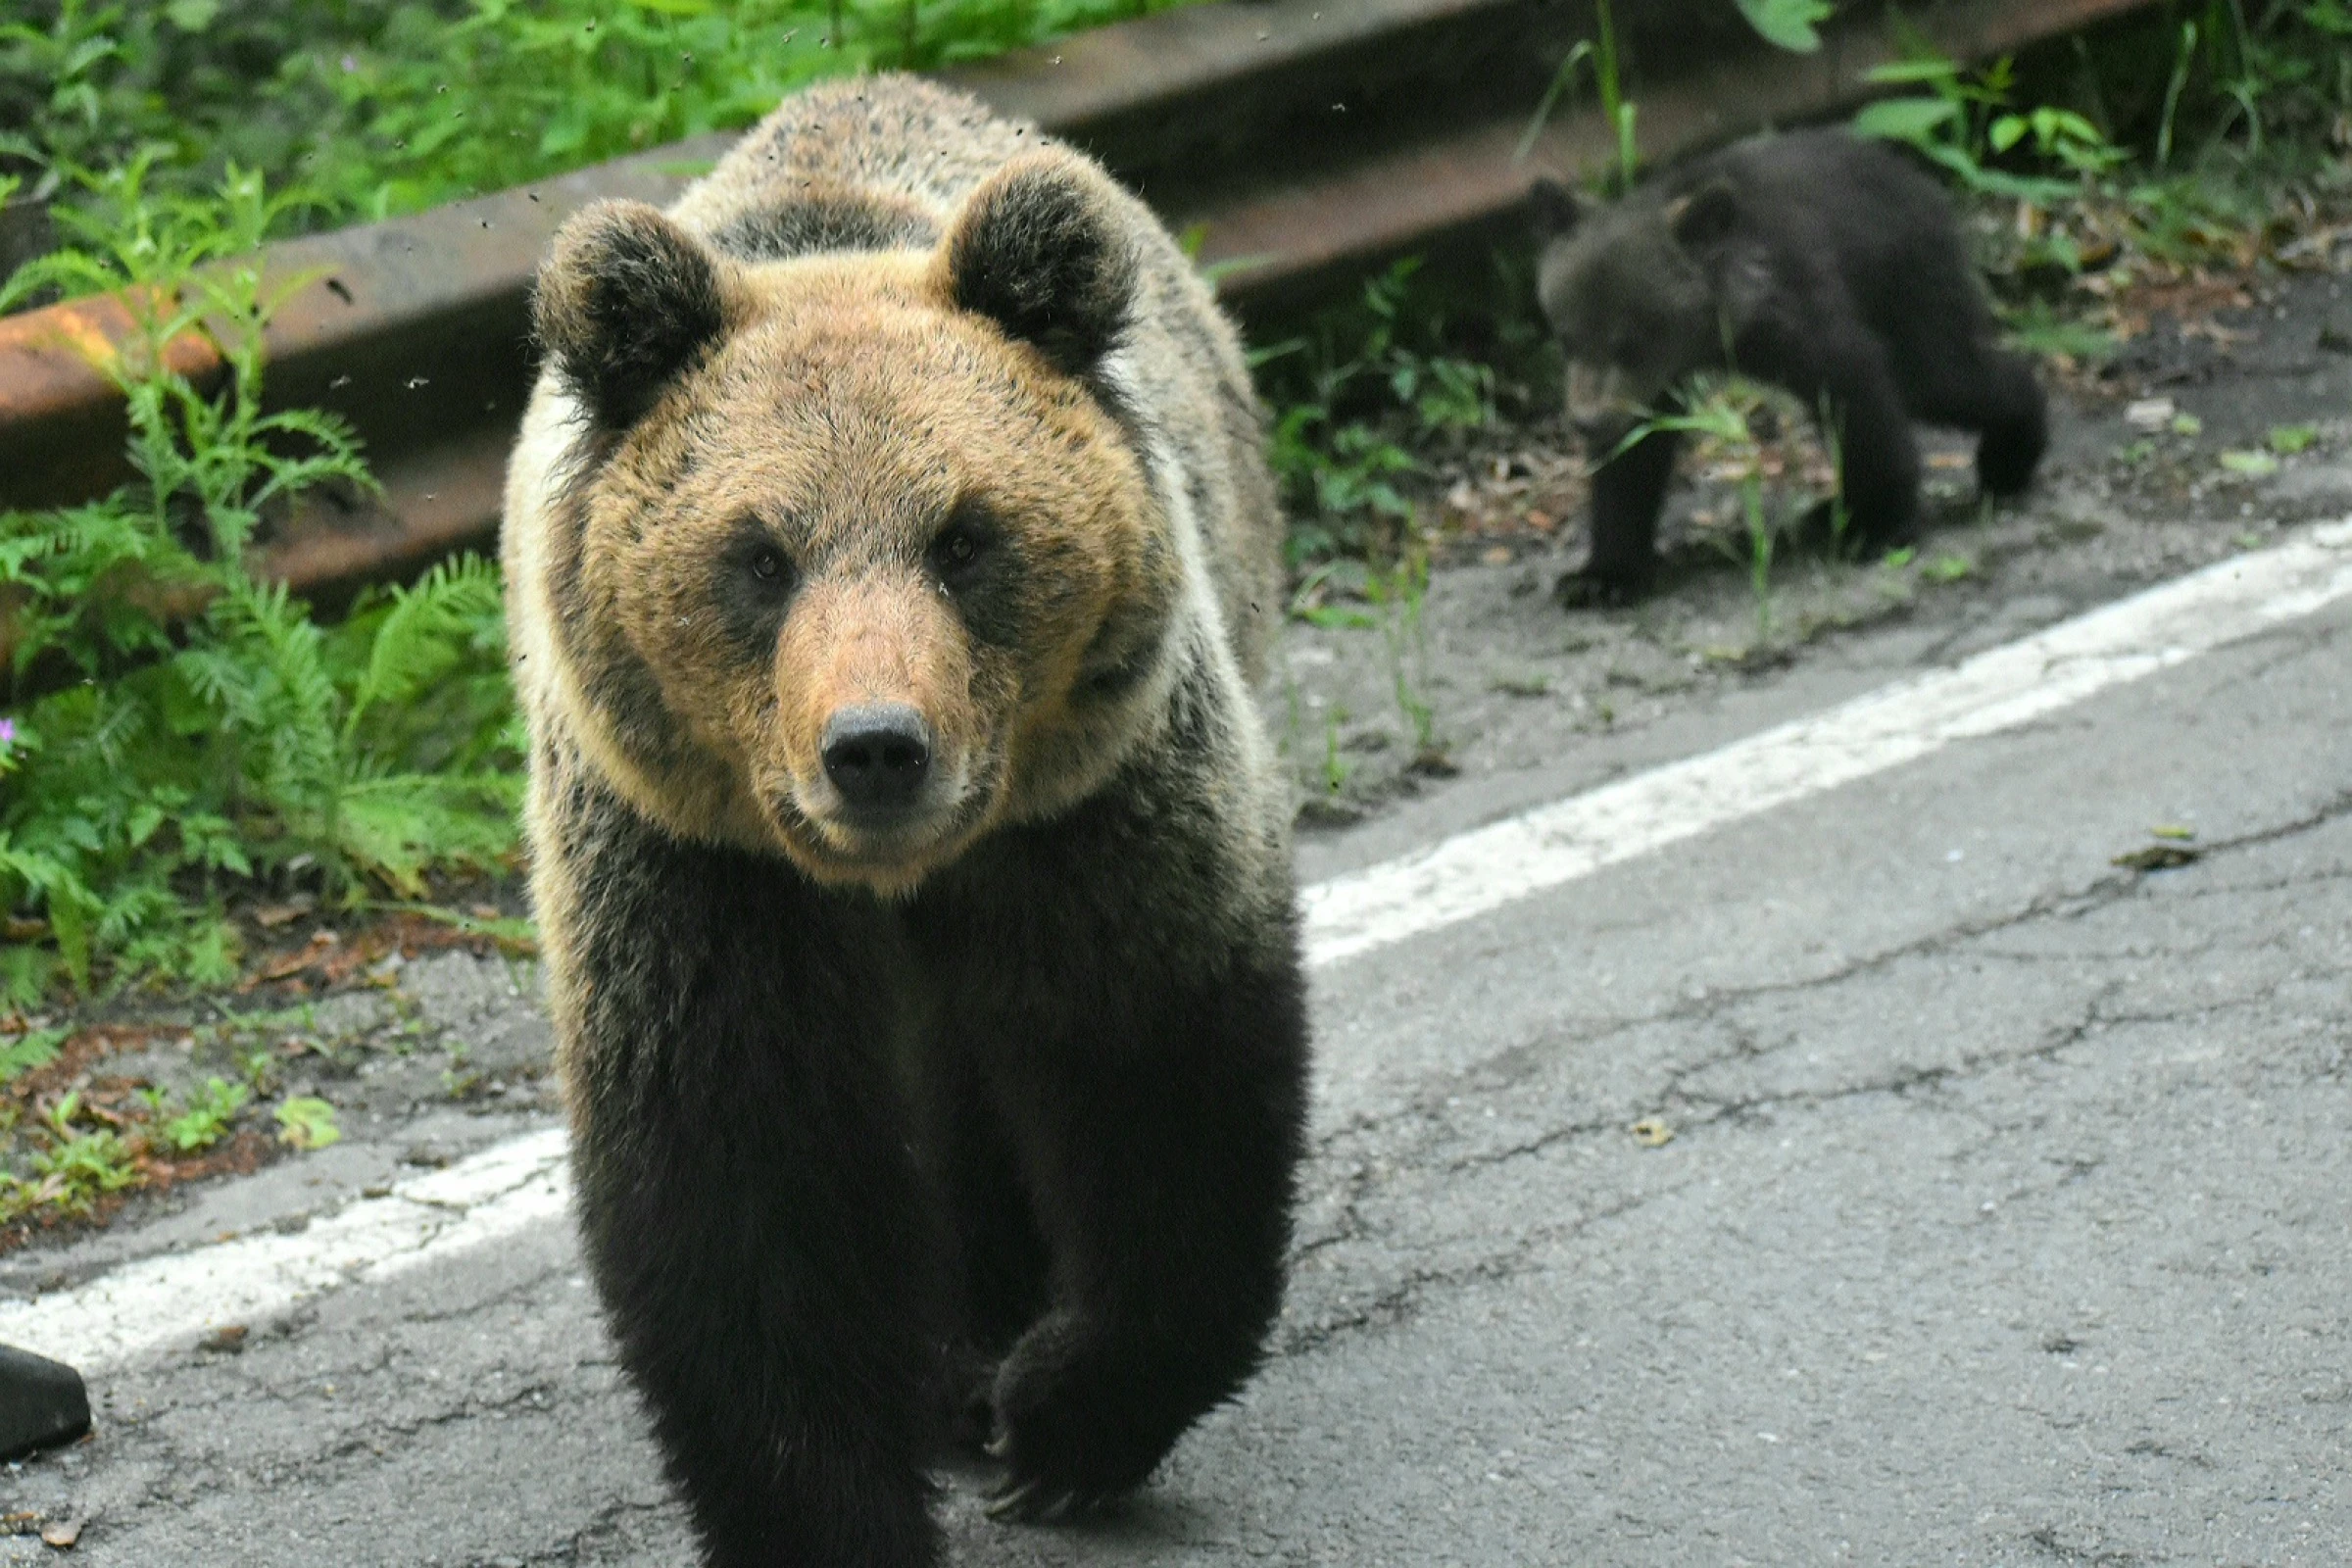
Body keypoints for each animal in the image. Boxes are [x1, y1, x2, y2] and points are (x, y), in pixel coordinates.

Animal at [501, 74, 1310, 1567]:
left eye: (965, 536)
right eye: (760, 556)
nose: (875, 748)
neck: (895, 879)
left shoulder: (1092, 813)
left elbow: (1161, 1070)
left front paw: (1063, 1418)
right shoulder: (692, 869)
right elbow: (747, 1197)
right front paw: (836, 1507)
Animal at [1529, 127, 2048, 604]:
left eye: (1630, 343)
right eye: (1568, 338)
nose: (1586, 421)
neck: (1722, 327)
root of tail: (1925, 185)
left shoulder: (1798, 308)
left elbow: (1857, 392)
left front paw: (1879, 524)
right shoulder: (1652, 385)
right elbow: (1634, 456)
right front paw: (1603, 575)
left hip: (1908, 287)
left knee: (1942, 377)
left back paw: (2009, 456)